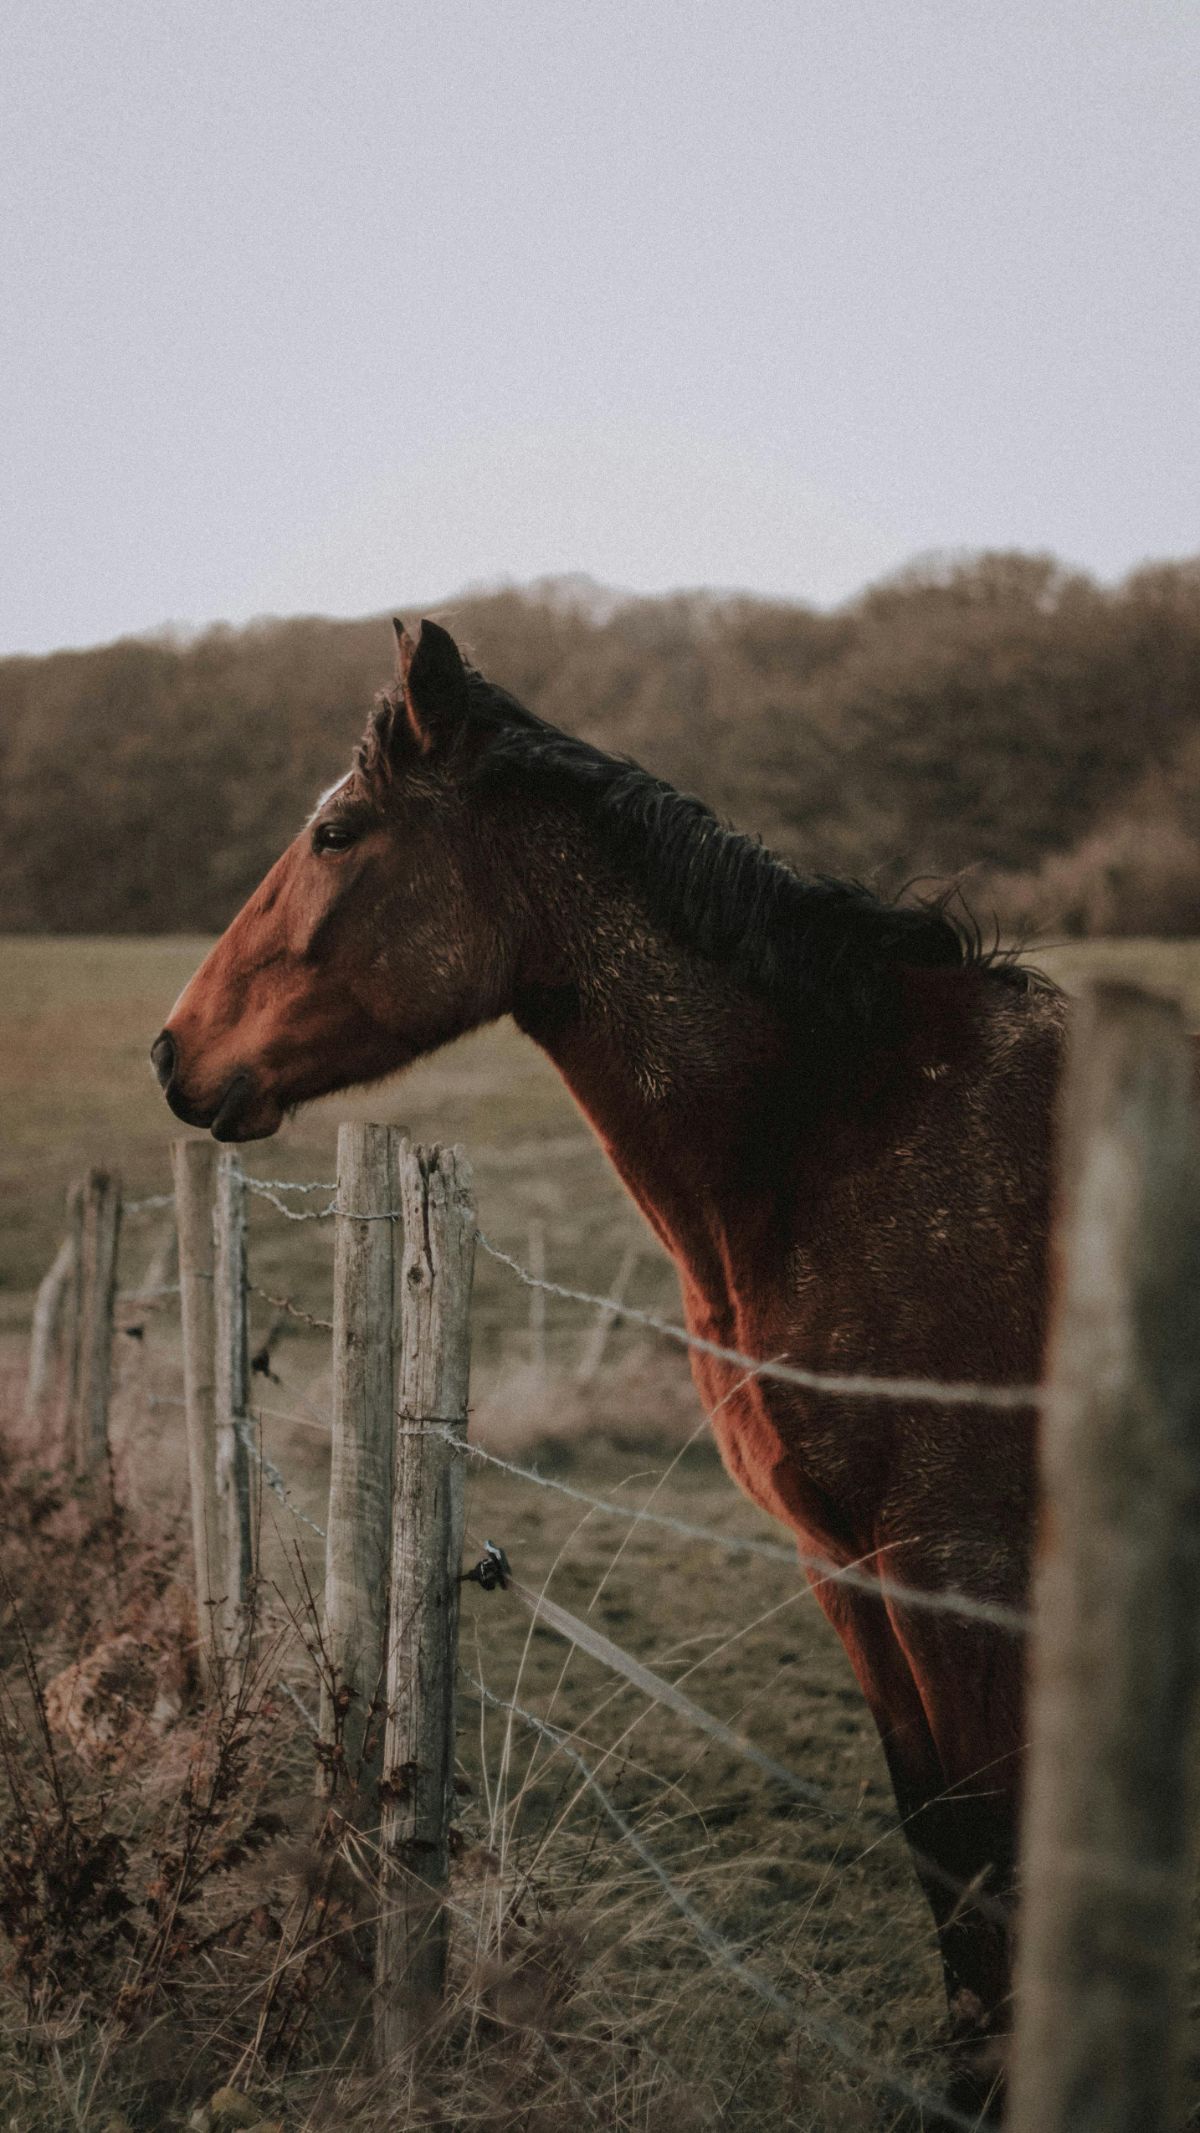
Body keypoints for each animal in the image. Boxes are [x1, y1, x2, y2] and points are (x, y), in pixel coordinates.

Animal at [152, 614, 1061, 2098]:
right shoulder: (847, 1564)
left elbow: (992, 1860)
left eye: (338, 832)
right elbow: (944, 1850)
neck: (848, 1131)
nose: (173, 1052)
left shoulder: (961, 1564)